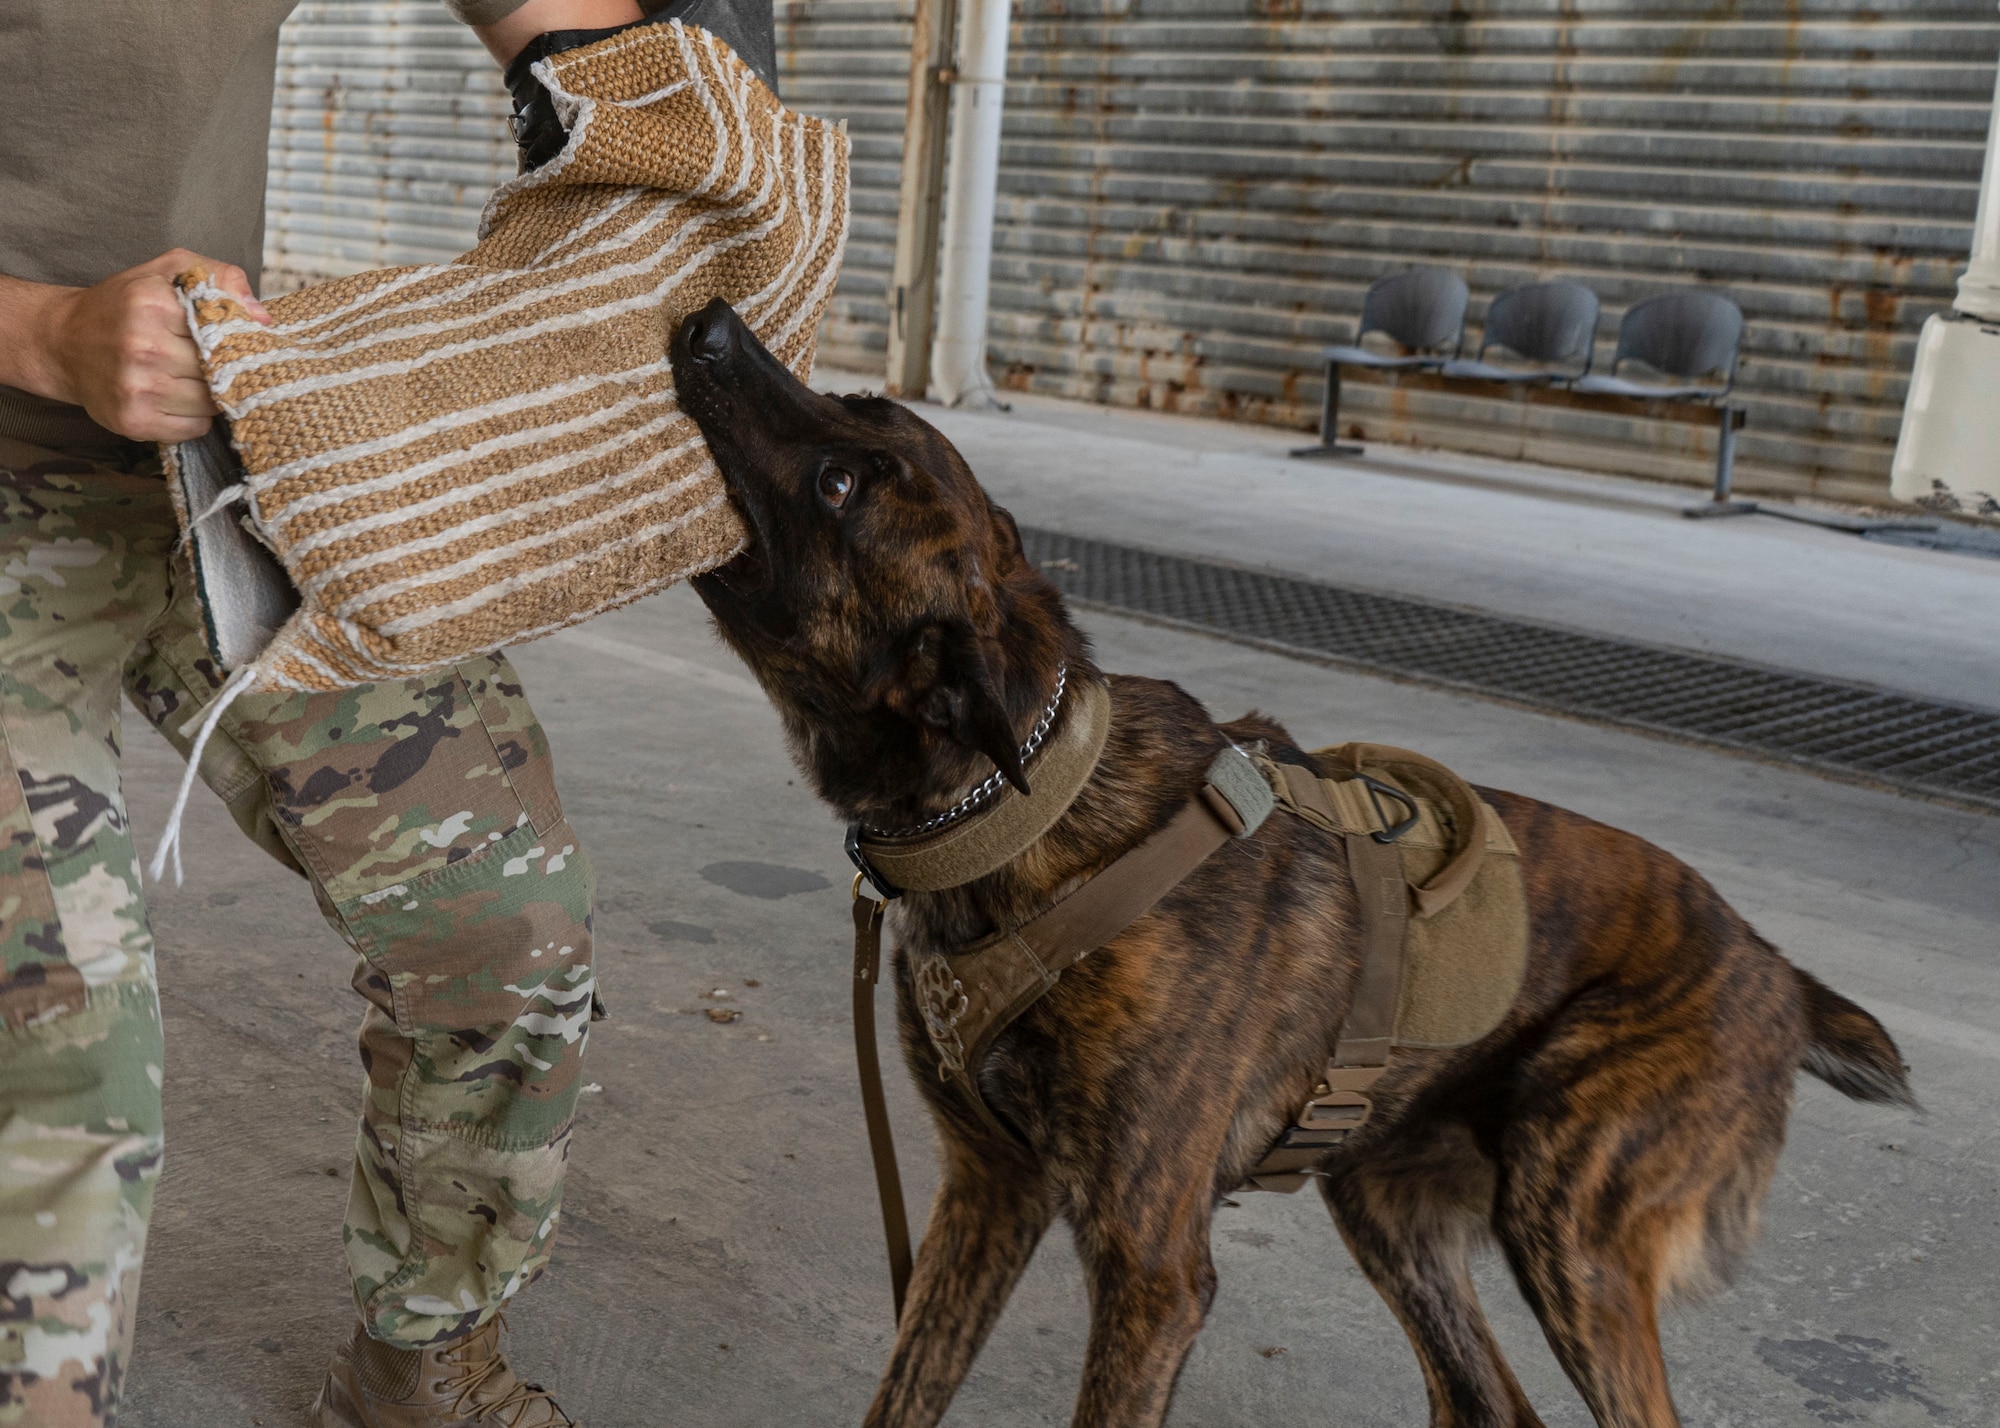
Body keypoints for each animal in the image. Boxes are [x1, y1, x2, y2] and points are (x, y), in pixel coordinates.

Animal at [672, 292, 1920, 1424]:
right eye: (851, 408)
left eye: (841, 484)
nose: (705, 320)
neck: (1021, 814)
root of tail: (1776, 971)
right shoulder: (989, 1194)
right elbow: (903, 1395)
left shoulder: (1151, 1272)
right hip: (1387, 1203)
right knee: (1484, 1401)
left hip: (1573, 1231)